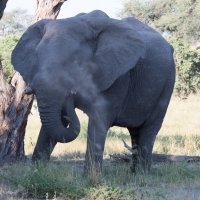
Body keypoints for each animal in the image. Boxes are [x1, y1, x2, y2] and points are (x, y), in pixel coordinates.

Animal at [11, 10, 175, 174]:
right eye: (37, 55)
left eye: (75, 60)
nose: (71, 92)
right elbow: (57, 122)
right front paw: (37, 172)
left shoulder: (117, 76)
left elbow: (99, 119)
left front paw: (90, 178)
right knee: (135, 131)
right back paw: (134, 173)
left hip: (167, 83)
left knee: (149, 129)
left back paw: (141, 174)